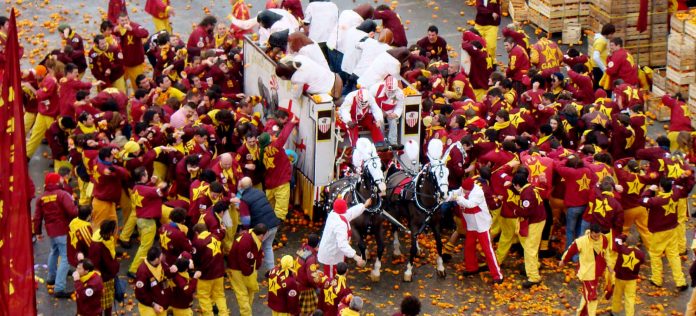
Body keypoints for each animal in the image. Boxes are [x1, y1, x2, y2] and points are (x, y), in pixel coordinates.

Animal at [322, 138, 388, 282]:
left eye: (381, 167)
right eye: (369, 169)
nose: (382, 188)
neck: (369, 207)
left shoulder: (378, 227)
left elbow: (381, 247)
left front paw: (376, 271)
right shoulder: (353, 226)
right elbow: (361, 244)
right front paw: (362, 261)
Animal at [386, 140, 452, 282]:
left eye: (448, 173)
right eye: (434, 174)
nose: (444, 194)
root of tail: (394, 169)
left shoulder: (435, 223)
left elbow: (439, 244)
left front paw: (440, 267)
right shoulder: (415, 223)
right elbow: (410, 248)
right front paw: (408, 271)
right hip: (393, 212)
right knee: (395, 228)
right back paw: (396, 250)